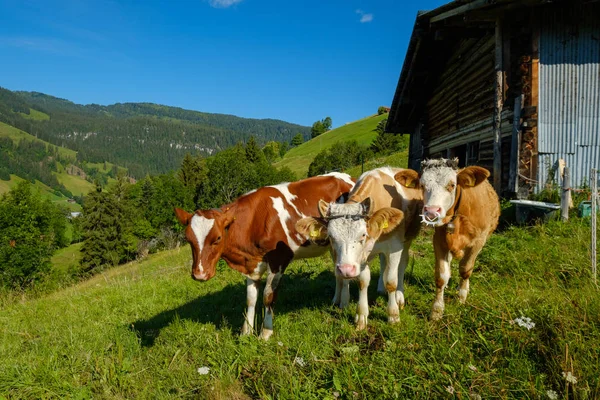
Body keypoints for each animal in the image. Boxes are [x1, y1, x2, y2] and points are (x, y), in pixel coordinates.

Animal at [173, 173, 354, 340]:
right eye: (188, 239)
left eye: (217, 238)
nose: (200, 274)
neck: (252, 222)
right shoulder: (251, 264)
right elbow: (250, 298)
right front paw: (246, 332)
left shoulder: (278, 259)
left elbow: (268, 296)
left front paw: (265, 333)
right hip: (332, 244)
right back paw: (335, 301)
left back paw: (344, 303)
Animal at [296, 167, 422, 330]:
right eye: (330, 236)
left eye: (363, 234)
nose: (345, 270)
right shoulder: (361, 256)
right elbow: (363, 282)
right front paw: (361, 316)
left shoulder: (395, 246)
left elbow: (391, 281)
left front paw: (393, 315)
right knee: (383, 262)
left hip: (407, 240)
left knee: (402, 265)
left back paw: (399, 297)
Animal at [394, 158, 502, 320]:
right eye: (422, 186)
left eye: (452, 185)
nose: (431, 211)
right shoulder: (439, 241)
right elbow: (441, 276)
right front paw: (437, 311)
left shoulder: (478, 242)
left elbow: (466, 270)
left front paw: (461, 298)